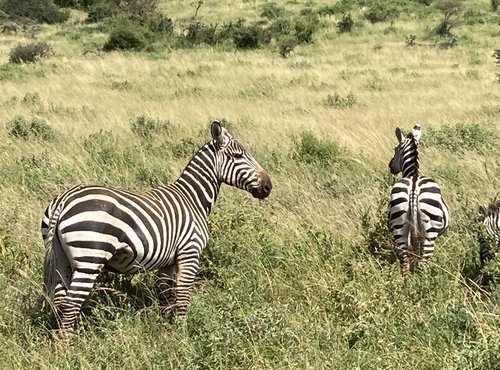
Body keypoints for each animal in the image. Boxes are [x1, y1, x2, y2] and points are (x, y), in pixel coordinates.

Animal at [42, 120, 274, 340]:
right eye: (237, 156)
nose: (268, 186)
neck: (193, 200)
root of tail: (63, 200)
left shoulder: (167, 263)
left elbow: (167, 297)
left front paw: (168, 330)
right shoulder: (190, 253)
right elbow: (183, 296)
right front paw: (182, 334)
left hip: (61, 259)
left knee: (60, 301)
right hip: (89, 257)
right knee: (71, 304)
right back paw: (69, 347)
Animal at [386, 124, 450, 274]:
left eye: (395, 149)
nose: (390, 166)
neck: (413, 173)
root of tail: (414, 187)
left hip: (399, 225)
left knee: (405, 262)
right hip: (430, 231)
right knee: (423, 264)